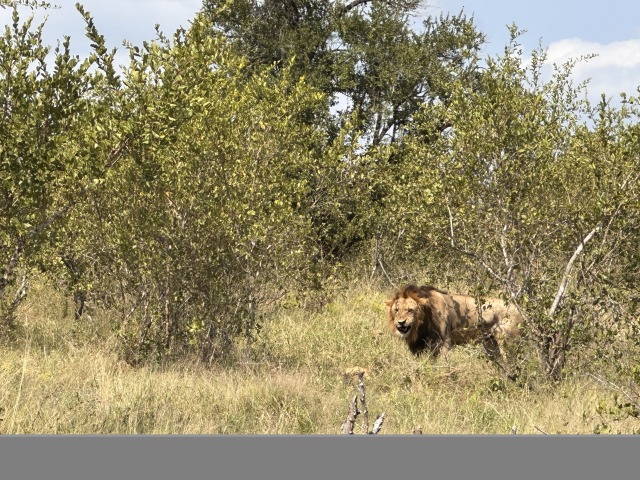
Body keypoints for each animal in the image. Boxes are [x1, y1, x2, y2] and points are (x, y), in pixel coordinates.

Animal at [384, 284, 520, 356]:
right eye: (396, 310)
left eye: (410, 310)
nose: (401, 323)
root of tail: (518, 309)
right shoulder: (418, 346)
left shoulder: (444, 342)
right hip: (492, 343)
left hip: (507, 343)